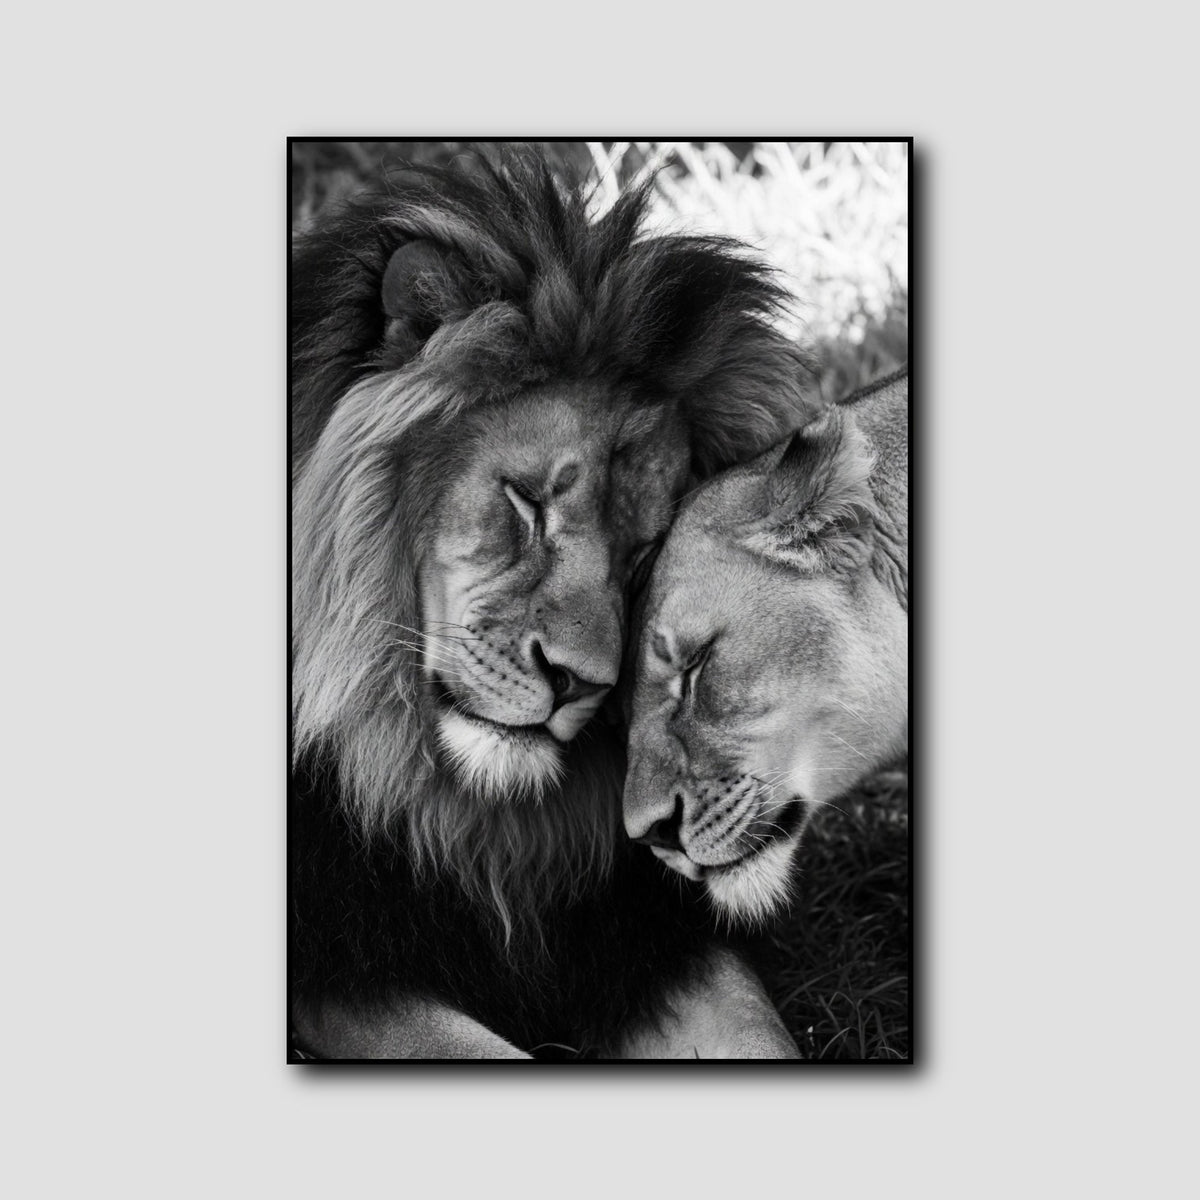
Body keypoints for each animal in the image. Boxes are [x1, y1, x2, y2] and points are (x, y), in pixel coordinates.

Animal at [290, 149, 816, 1058]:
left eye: (642, 557)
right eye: (529, 502)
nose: (581, 683)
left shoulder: (642, 936)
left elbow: (762, 1038)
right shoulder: (343, 959)